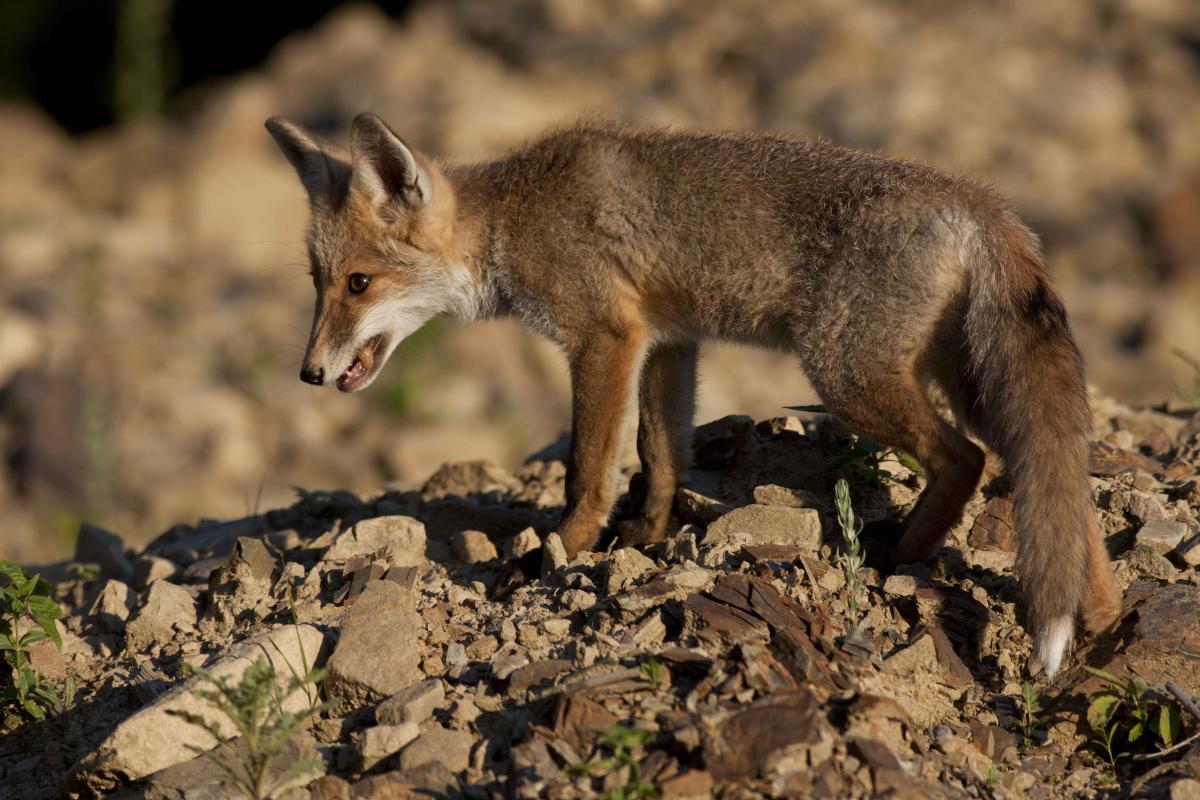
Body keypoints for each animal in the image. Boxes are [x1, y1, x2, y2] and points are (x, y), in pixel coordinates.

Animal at [267, 112, 1118, 676]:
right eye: (317, 283)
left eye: (359, 283)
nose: (307, 373)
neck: (514, 218)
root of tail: (985, 204)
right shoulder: (668, 341)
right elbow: (659, 451)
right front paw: (648, 535)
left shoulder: (604, 337)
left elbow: (588, 467)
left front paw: (559, 553)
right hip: (966, 382)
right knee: (1054, 479)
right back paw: (1100, 615)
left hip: (847, 374)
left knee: (967, 460)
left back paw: (901, 556)